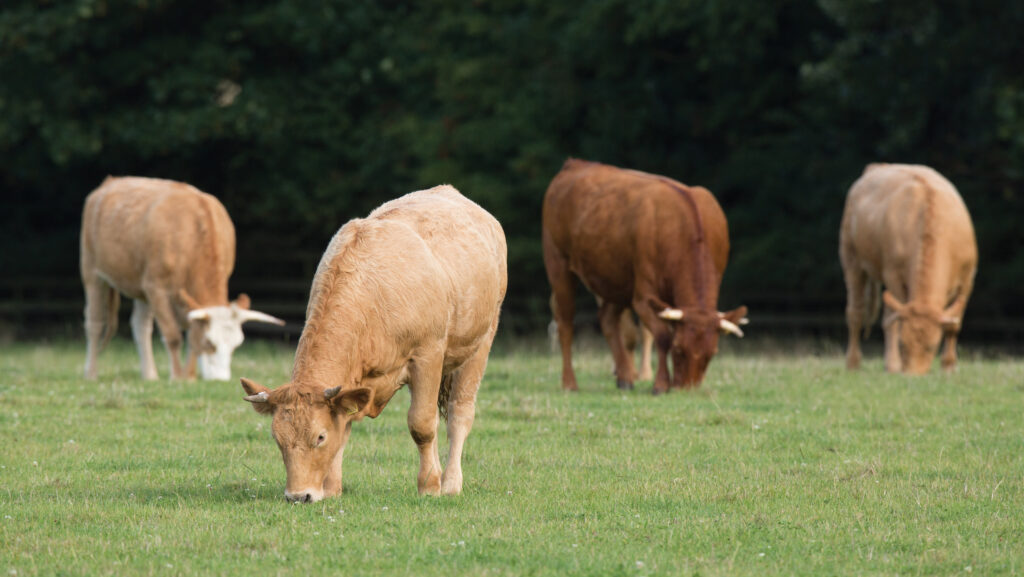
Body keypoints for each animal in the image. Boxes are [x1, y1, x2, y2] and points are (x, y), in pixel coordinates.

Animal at [78, 177, 284, 383]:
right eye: (209, 342)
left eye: (237, 344)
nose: (220, 380)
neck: (192, 234)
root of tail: (110, 182)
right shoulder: (156, 288)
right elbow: (173, 336)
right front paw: (177, 377)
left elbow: (191, 335)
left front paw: (189, 377)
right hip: (93, 273)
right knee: (94, 323)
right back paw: (91, 373)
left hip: (140, 288)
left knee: (141, 326)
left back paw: (150, 376)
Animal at [240, 187, 512, 504]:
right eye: (277, 438)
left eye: (319, 437)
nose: (298, 496)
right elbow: (345, 427)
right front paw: (332, 488)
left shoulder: (428, 355)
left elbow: (422, 425)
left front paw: (429, 485)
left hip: (480, 344)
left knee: (459, 414)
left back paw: (451, 482)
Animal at [540, 157, 749, 395]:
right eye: (678, 349)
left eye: (711, 354)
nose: (686, 389)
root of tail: (575, 164)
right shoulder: (642, 297)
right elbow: (662, 335)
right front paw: (660, 384)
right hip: (559, 265)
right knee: (565, 324)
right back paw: (570, 382)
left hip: (616, 279)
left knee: (608, 319)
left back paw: (625, 378)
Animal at [839, 162, 974, 375]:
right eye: (903, 344)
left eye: (932, 346)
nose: (912, 375)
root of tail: (877, 167)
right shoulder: (893, 275)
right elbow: (896, 321)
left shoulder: (967, 279)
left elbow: (954, 323)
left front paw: (949, 367)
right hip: (852, 260)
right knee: (856, 312)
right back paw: (856, 363)